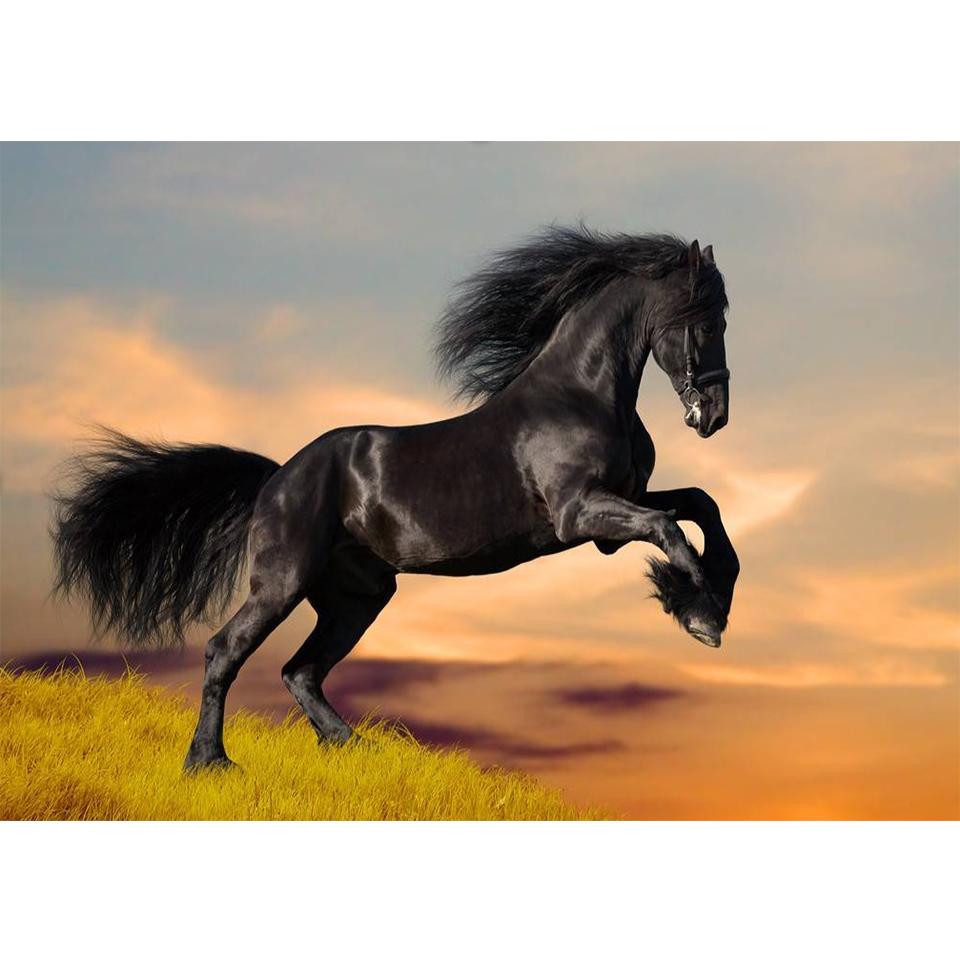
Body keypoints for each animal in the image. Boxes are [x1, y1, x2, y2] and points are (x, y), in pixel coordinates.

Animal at [52, 225, 740, 770]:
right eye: (705, 319)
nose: (714, 416)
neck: (580, 394)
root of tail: (276, 479)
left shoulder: (615, 513)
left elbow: (700, 507)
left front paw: (709, 601)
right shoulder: (580, 516)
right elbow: (671, 529)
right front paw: (701, 616)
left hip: (358, 596)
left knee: (301, 670)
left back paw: (353, 749)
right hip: (283, 582)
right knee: (227, 651)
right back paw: (210, 763)